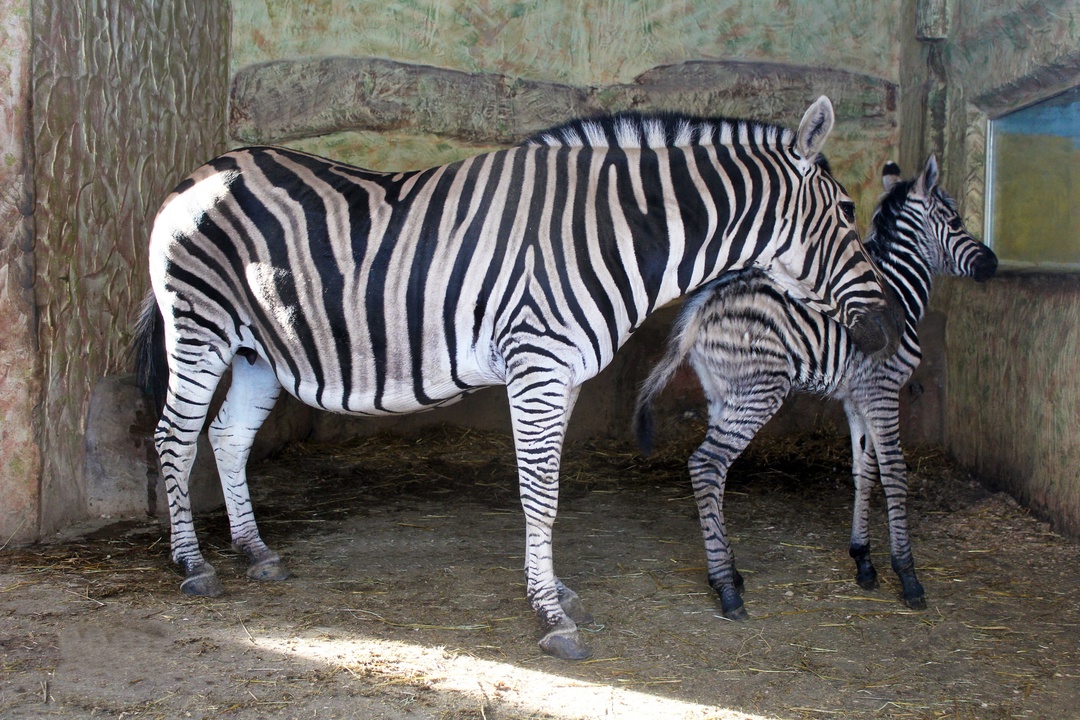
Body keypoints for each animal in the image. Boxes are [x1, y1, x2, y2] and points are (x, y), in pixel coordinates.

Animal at [135, 95, 898, 660]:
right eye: (845, 212)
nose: (888, 331)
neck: (614, 232)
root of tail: (197, 173)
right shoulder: (537, 364)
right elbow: (539, 494)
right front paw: (551, 616)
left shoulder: (564, 376)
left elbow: (549, 490)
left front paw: (553, 589)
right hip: (200, 325)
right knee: (174, 437)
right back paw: (193, 564)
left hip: (259, 350)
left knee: (226, 437)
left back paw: (255, 551)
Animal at [630, 156, 993, 621]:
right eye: (957, 220)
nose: (993, 265)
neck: (900, 292)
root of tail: (705, 300)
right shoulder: (883, 390)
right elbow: (895, 473)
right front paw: (908, 576)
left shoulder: (856, 399)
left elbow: (864, 472)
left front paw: (864, 561)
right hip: (760, 390)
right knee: (707, 464)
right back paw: (726, 589)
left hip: (722, 392)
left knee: (716, 472)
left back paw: (729, 572)